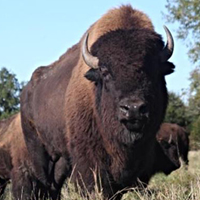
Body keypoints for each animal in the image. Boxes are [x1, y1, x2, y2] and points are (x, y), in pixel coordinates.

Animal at [20, 4, 177, 200]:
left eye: (154, 70)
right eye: (105, 71)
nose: (133, 109)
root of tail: (26, 91)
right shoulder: (89, 158)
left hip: (61, 157)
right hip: (39, 150)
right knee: (44, 180)